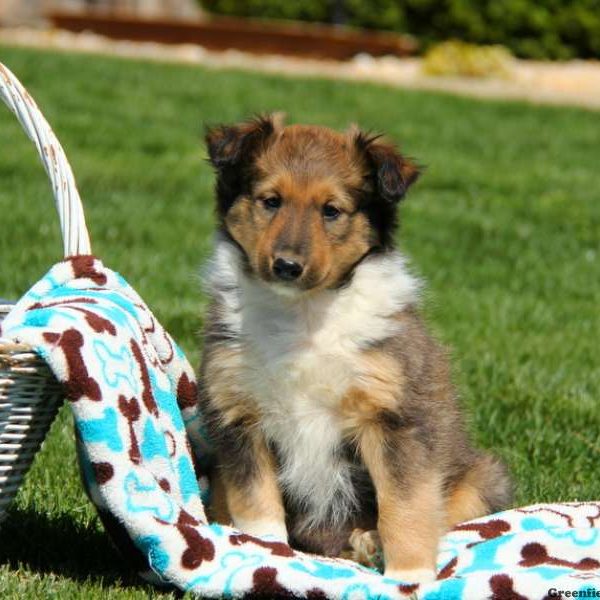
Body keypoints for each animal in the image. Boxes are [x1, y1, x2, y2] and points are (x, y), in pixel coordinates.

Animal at [198, 115, 510, 584]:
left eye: (332, 210)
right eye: (270, 201)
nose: (286, 266)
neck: (303, 315)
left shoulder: (392, 418)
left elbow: (405, 508)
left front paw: (409, 577)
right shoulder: (239, 415)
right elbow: (256, 506)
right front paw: (267, 555)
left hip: (480, 478)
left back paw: (368, 543)